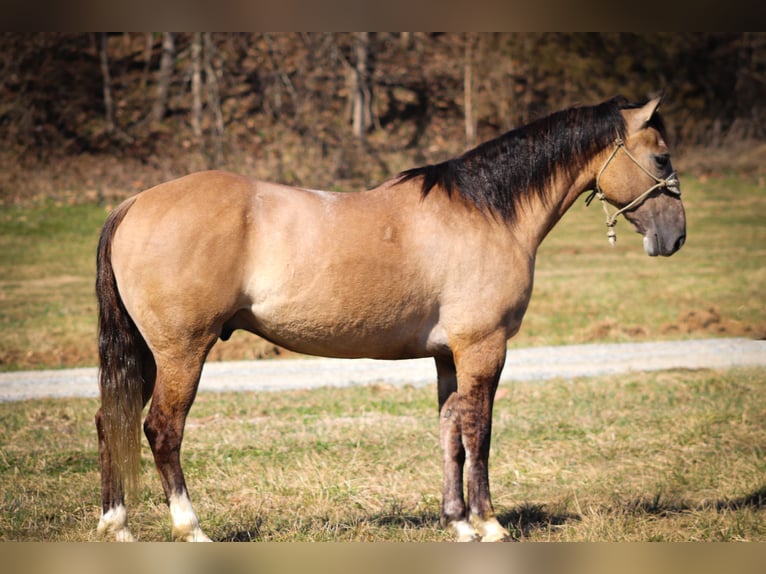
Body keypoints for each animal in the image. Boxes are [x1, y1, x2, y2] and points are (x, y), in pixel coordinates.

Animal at [93, 95, 688, 544]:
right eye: (661, 160)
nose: (676, 236)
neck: (487, 210)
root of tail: (134, 203)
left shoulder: (448, 355)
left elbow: (451, 432)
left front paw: (458, 523)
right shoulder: (483, 348)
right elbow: (479, 431)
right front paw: (489, 524)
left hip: (145, 353)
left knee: (110, 420)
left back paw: (116, 525)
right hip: (182, 351)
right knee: (161, 429)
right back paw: (190, 528)